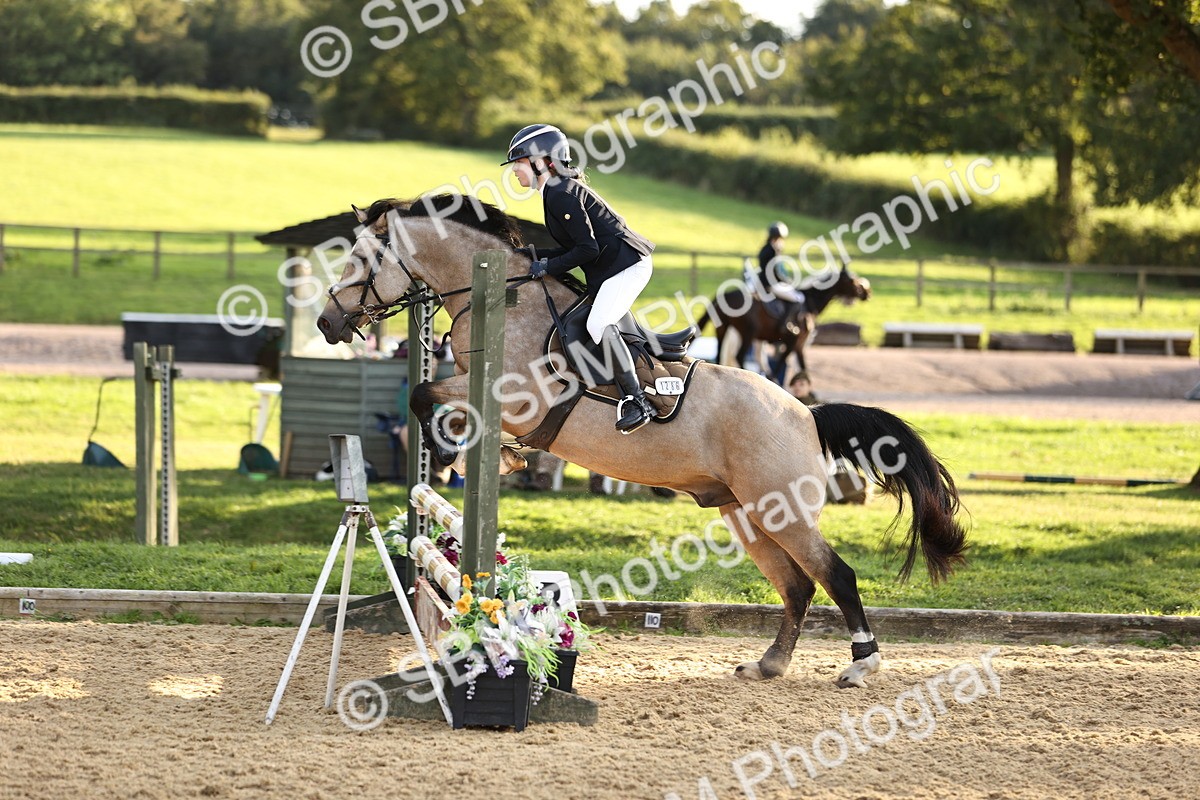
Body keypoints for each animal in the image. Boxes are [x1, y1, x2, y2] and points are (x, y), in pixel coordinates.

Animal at [697, 267, 872, 387]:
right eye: (852, 280)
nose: (867, 293)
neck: (810, 302)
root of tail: (723, 295)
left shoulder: (798, 345)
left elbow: (801, 366)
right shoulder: (796, 340)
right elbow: (784, 361)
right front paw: (773, 380)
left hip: (723, 330)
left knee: (721, 355)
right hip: (747, 333)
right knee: (739, 356)